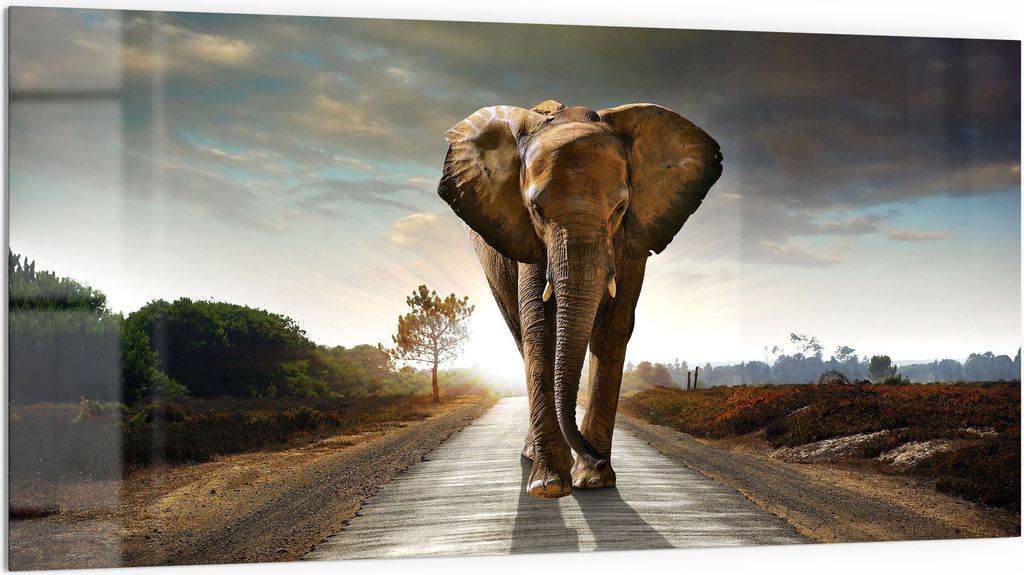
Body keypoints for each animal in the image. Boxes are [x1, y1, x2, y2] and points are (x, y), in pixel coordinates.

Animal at [437, 100, 722, 498]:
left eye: (620, 208)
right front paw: (550, 486)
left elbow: (613, 328)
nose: (596, 457)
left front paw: (594, 481)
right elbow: (540, 327)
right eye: (536, 210)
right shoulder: (527, 238)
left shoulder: (632, 238)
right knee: (521, 335)